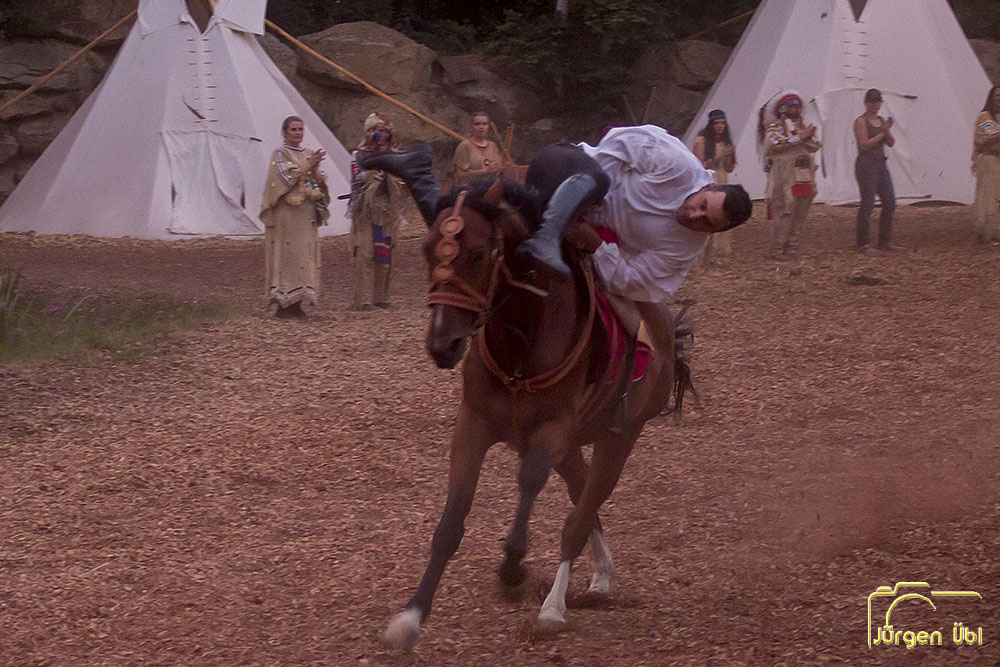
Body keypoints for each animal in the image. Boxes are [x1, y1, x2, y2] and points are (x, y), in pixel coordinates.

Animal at [379, 173, 691, 651]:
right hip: (577, 444)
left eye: (477, 253)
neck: (521, 341)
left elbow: (529, 480)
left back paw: (553, 608)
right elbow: (451, 522)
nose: (442, 344)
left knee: (580, 515)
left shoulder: (552, 431)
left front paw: (512, 571)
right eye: (428, 250)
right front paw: (411, 616)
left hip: (619, 437)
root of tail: (663, 326)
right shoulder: (473, 424)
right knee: (582, 496)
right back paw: (600, 576)